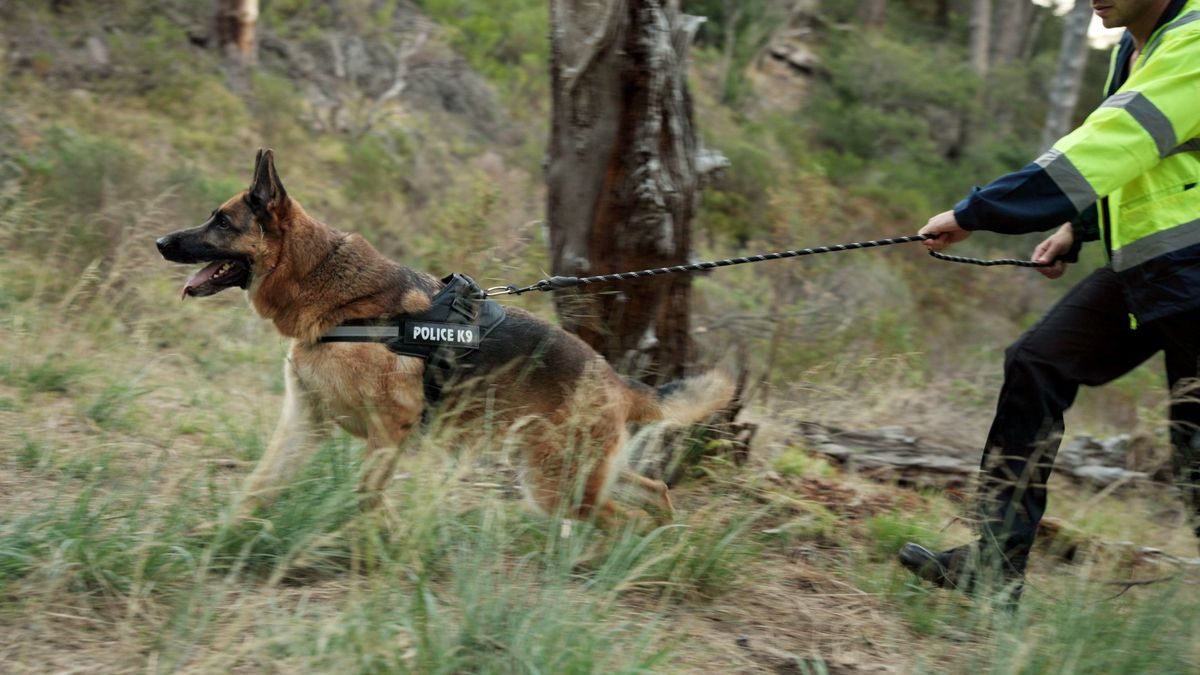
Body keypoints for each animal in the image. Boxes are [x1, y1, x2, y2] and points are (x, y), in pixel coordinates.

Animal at [154, 151, 734, 526]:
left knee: (618, 520)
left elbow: (365, 498)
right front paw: (219, 538)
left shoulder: (390, 430)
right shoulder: (305, 423)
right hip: (571, 473)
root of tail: (613, 378)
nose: (160, 241)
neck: (327, 286)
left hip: (557, 485)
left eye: (221, 222)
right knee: (654, 493)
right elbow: (258, 486)